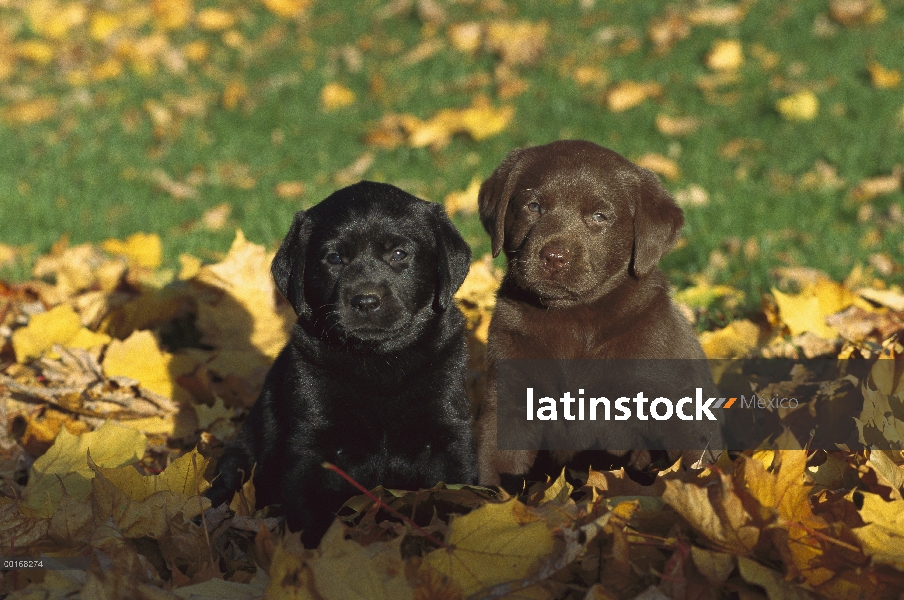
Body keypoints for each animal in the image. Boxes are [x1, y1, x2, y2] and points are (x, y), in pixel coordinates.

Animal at [207, 180, 476, 548]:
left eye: (399, 254)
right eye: (334, 258)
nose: (365, 301)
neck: (379, 362)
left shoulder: (448, 435)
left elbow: (456, 492)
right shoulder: (313, 446)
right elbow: (310, 510)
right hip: (240, 456)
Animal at [476, 143, 724, 490]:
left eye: (599, 216)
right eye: (534, 206)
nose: (554, 257)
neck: (571, 317)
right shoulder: (509, 393)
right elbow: (498, 465)